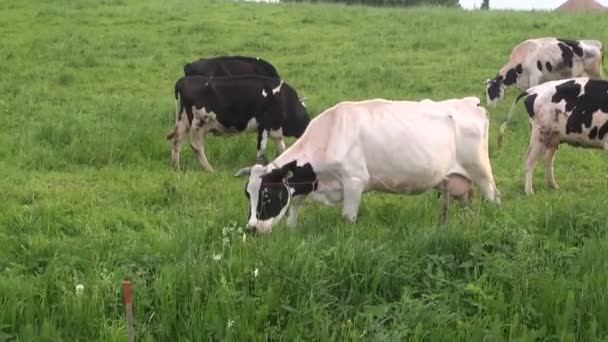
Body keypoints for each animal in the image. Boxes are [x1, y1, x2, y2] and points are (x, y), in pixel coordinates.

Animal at [166, 75, 308, 171]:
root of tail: (182, 80)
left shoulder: (276, 131)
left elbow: (283, 150)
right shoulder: (265, 125)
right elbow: (261, 149)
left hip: (184, 120)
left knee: (176, 140)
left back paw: (176, 168)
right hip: (199, 121)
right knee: (196, 146)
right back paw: (210, 169)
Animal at [235, 97, 502, 234]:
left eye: (267, 195)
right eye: (248, 195)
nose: (251, 228)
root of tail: (471, 102)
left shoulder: (354, 182)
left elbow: (347, 217)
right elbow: (294, 209)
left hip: (481, 171)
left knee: (494, 197)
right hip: (457, 182)